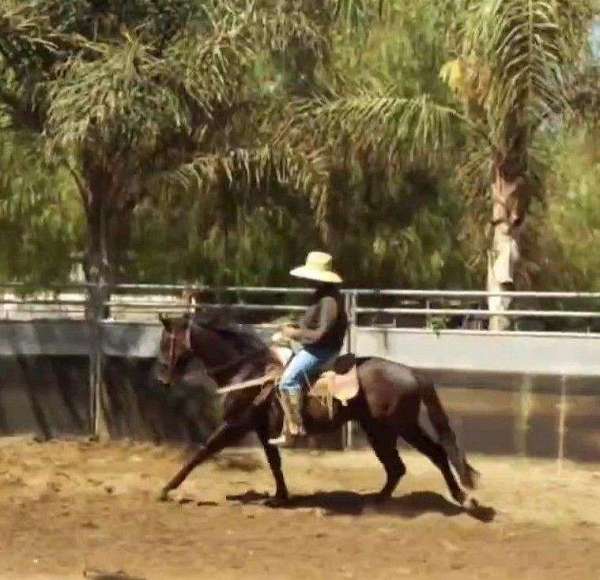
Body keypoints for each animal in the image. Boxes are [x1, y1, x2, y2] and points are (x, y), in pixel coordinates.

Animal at [157, 312, 480, 508]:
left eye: (165, 342)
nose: (162, 379)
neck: (247, 370)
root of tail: (412, 373)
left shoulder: (236, 424)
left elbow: (202, 451)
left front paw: (166, 488)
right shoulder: (263, 429)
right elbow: (274, 462)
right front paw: (280, 497)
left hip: (400, 427)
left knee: (432, 454)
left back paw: (459, 497)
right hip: (381, 430)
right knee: (400, 465)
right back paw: (380, 499)